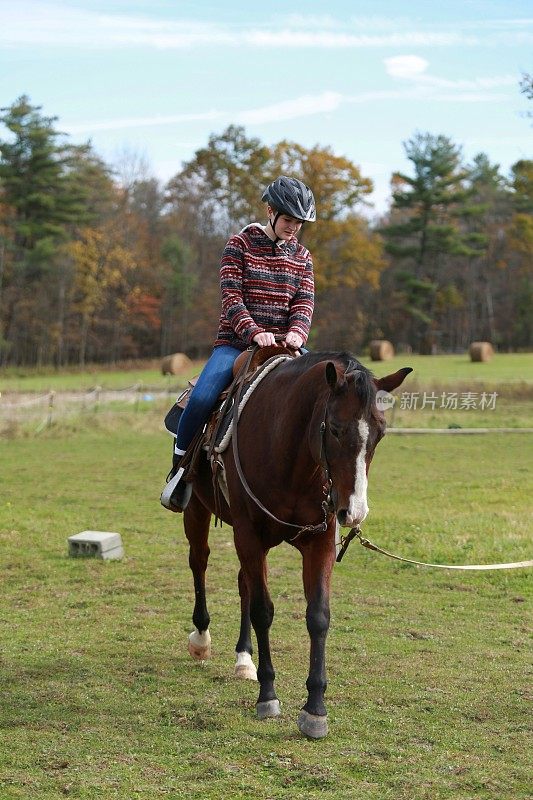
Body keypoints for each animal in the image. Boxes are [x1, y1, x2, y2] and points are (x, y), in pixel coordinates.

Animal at [181, 350, 410, 736]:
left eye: (379, 434)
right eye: (336, 428)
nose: (354, 512)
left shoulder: (319, 542)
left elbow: (318, 616)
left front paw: (315, 710)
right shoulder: (249, 535)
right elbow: (263, 611)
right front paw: (267, 697)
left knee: (242, 582)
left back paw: (244, 659)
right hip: (197, 510)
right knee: (199, 562)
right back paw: (201, 639)